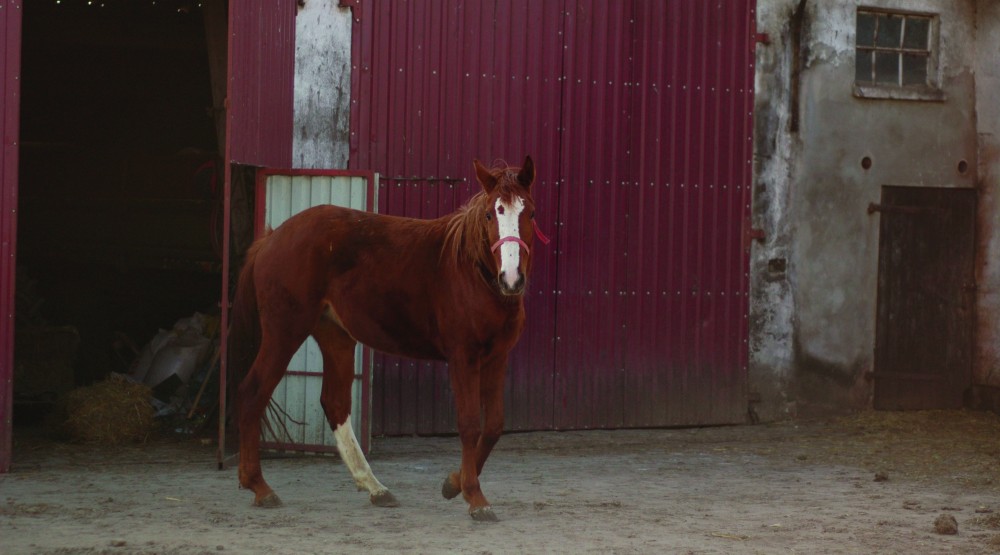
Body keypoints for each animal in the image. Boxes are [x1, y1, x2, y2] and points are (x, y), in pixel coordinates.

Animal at [229, 156, 548, 520]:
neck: (472, 273)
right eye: (490, 214)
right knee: (253, 393)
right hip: (284, 332)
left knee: (335, 403)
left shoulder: (496, 357)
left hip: (335, 335)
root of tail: (271, 238)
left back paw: (375, 487)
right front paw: (475, 497)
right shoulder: (463, 357)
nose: (512, 278)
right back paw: (259, 486)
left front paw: (453, 484)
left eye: (530, 213)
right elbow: (469, 424)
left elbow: (493, 426)